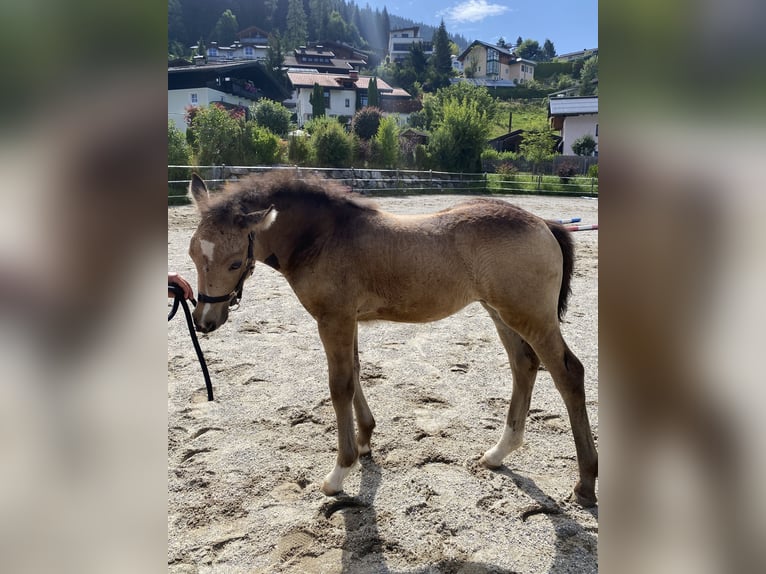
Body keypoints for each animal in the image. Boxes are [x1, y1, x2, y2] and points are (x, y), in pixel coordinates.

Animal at [188, 172, 600, 508]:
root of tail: (545, 223)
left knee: (568, 372)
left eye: (235, 262)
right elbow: (355, 372)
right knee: (524, 365)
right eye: (192, 253)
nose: (205, 321)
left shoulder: (333, 320)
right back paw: (498, 454)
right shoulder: (348, 320)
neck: (323, 237)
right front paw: (366, 440)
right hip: (501, 313)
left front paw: (339, 473)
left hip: (530, 316)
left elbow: (339, 385)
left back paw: (585, 484)